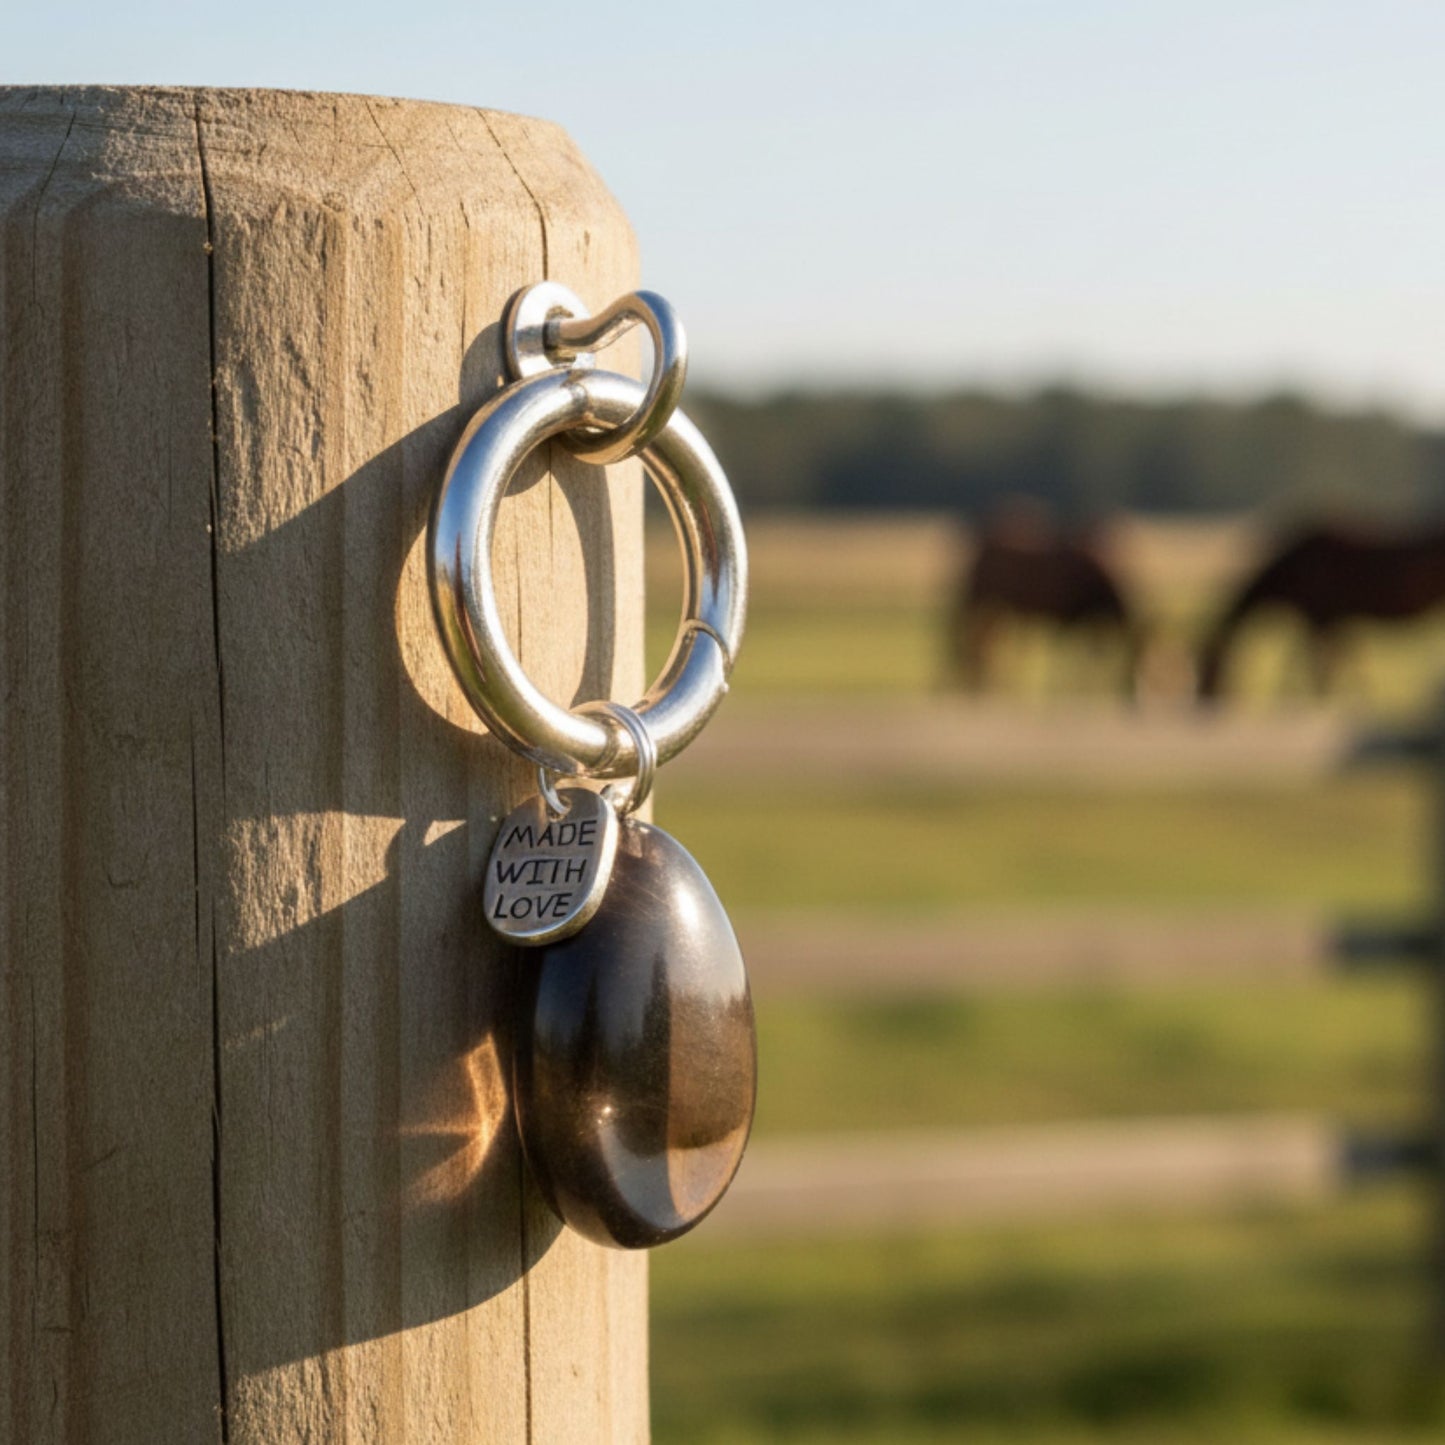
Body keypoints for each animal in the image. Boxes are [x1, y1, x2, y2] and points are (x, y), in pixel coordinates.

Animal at [945, 507, 1143, 698]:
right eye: (1135, 663)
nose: (1133, 690)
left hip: (992, 610)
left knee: (980, 642)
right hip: (984, 606)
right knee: (974, 641)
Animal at [1196, 522, 1445, 701]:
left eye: (1209, 665)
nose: (1203, 699)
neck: (1296, 567)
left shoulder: (1319, 620)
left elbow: (1319, 665)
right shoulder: (1333, 620)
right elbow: (1339, 660)